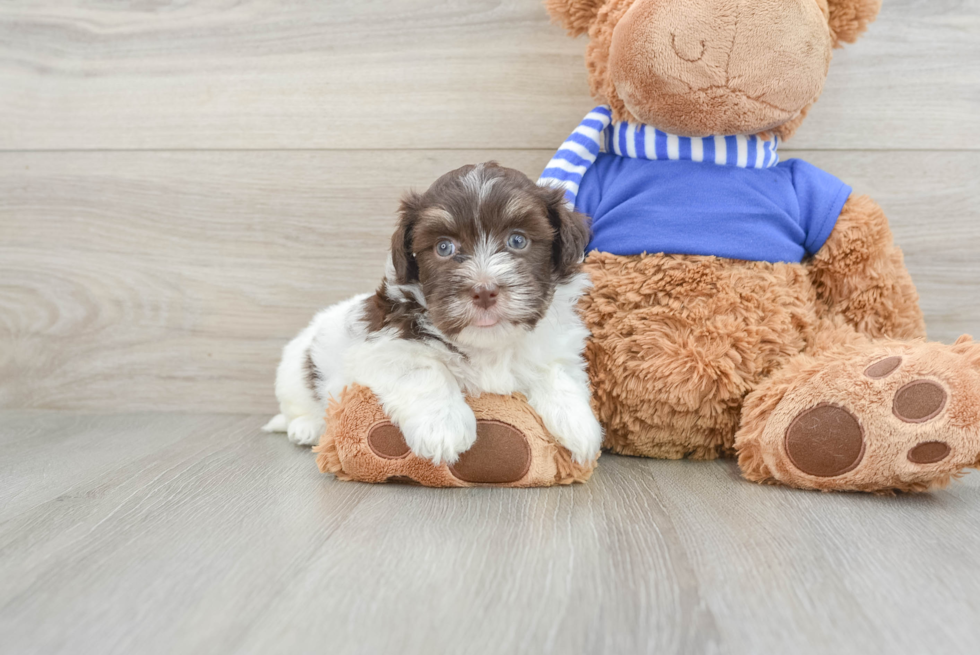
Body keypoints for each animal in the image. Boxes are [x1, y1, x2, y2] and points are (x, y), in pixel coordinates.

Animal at [264, 161, 600, 464]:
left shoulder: (556, 348)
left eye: (518, 240)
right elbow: (424, 370)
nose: (484, 290)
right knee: (297, 406)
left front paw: (579, 424)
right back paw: (306, 427)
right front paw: (443, 426)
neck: (487, 344)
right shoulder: (380, 348)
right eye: (444, 248)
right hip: (294, 374)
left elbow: (556, 373)